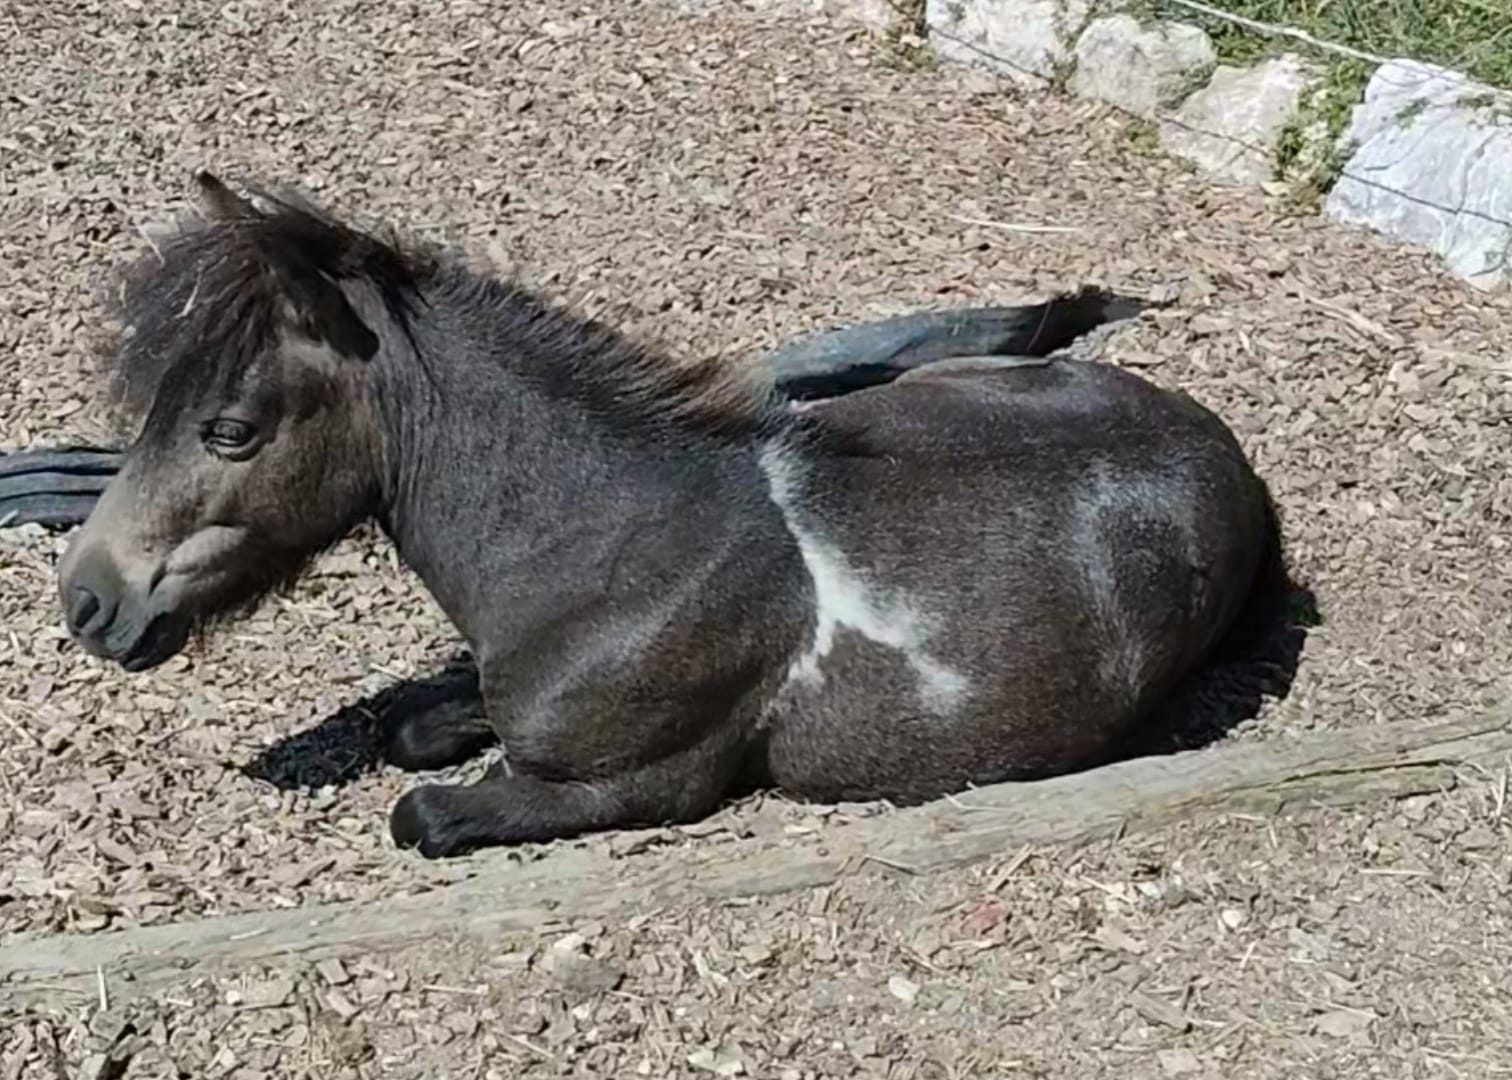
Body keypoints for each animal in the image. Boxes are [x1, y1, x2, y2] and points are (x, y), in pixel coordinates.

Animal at [56, 172, 1279, 858]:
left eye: (231, 429)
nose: (87, 602)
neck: (618, 547)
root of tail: (1218, 448)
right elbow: (417, 722)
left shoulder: (641, 787)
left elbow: (423, 811)